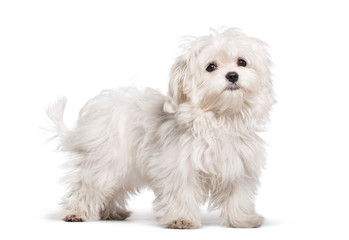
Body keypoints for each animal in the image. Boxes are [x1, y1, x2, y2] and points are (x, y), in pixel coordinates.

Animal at [47, 27, 274, 229]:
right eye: (211, 67)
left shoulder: (239, 166)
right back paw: (76, 212)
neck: (220, 118)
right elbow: (181, 192)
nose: (233, 75)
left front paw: (242, 220)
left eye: (242, 62)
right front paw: (181, 220)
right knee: (88, 185)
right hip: (106, 161)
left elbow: (238, 196)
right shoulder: (180, 166)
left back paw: (111, 211)